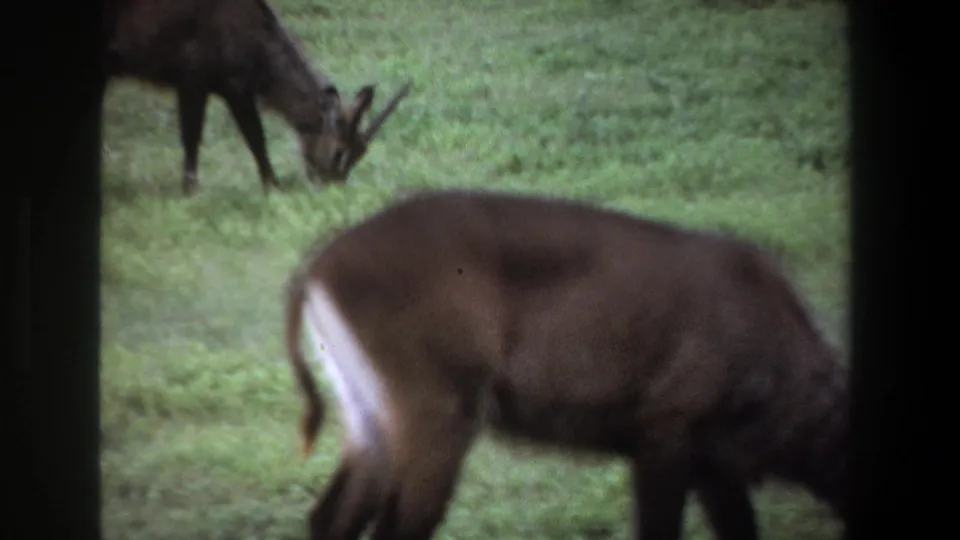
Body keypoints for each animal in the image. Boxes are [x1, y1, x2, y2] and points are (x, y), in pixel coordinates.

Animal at [103, 0, 411, 195]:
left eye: (361, 152)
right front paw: (191, 189)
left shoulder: (233, 87)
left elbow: (255, 137)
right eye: (339, 152)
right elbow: (195, 136)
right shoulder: (194, 78)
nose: (331, 188)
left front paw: (271, 186)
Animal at [283, 189, 849, 540]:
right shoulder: (666, 435)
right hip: (438, 417)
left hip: (368, 414)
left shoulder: (718, 467)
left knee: (328, 517)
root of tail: (317, 267)